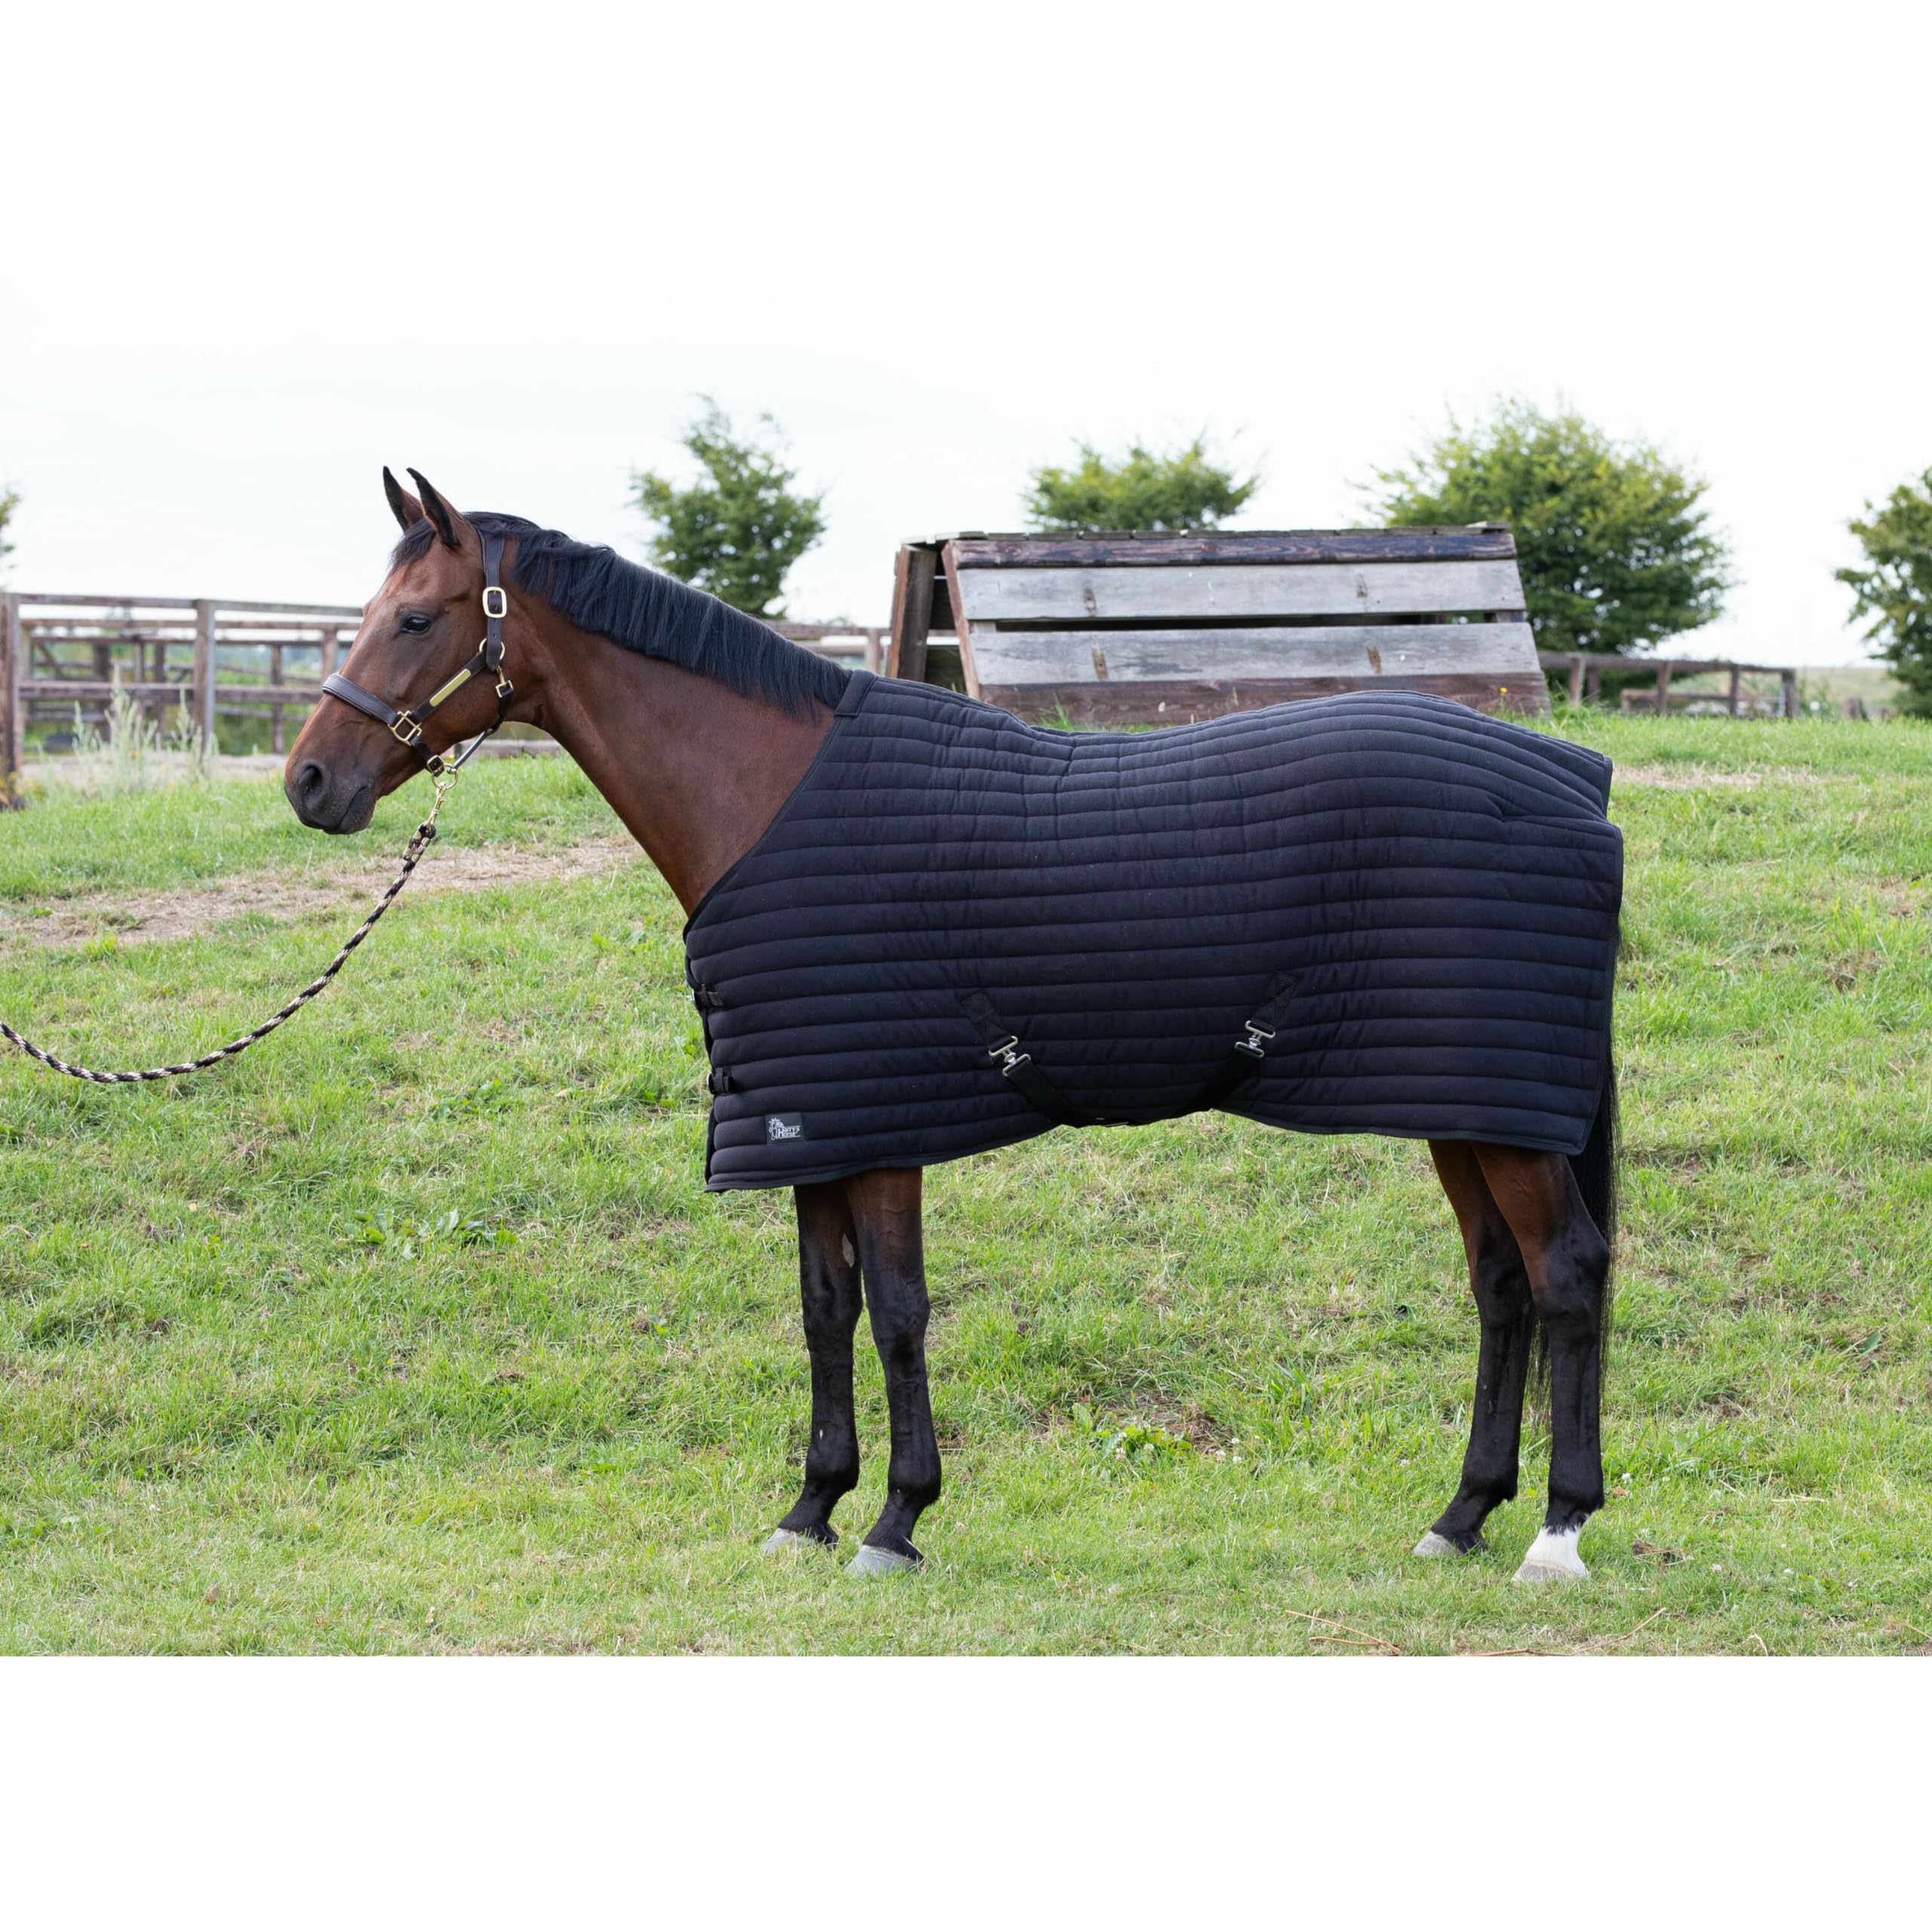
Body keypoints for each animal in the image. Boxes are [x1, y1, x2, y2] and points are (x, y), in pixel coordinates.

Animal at [285, 469, 1622, 1585]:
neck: (769, 796)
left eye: (417, 620)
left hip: (1501, 1113)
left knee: (1564, 1274)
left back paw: (1556, 1533)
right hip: (1461, 1101)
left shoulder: (883, 1125)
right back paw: (1461, 1516)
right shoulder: (809, 1118)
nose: (308, 783)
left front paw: (895, 1522)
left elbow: (897, 1312)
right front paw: (809, 1511)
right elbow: (826, 1311)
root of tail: (1583, 786)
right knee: (1500, 1286)